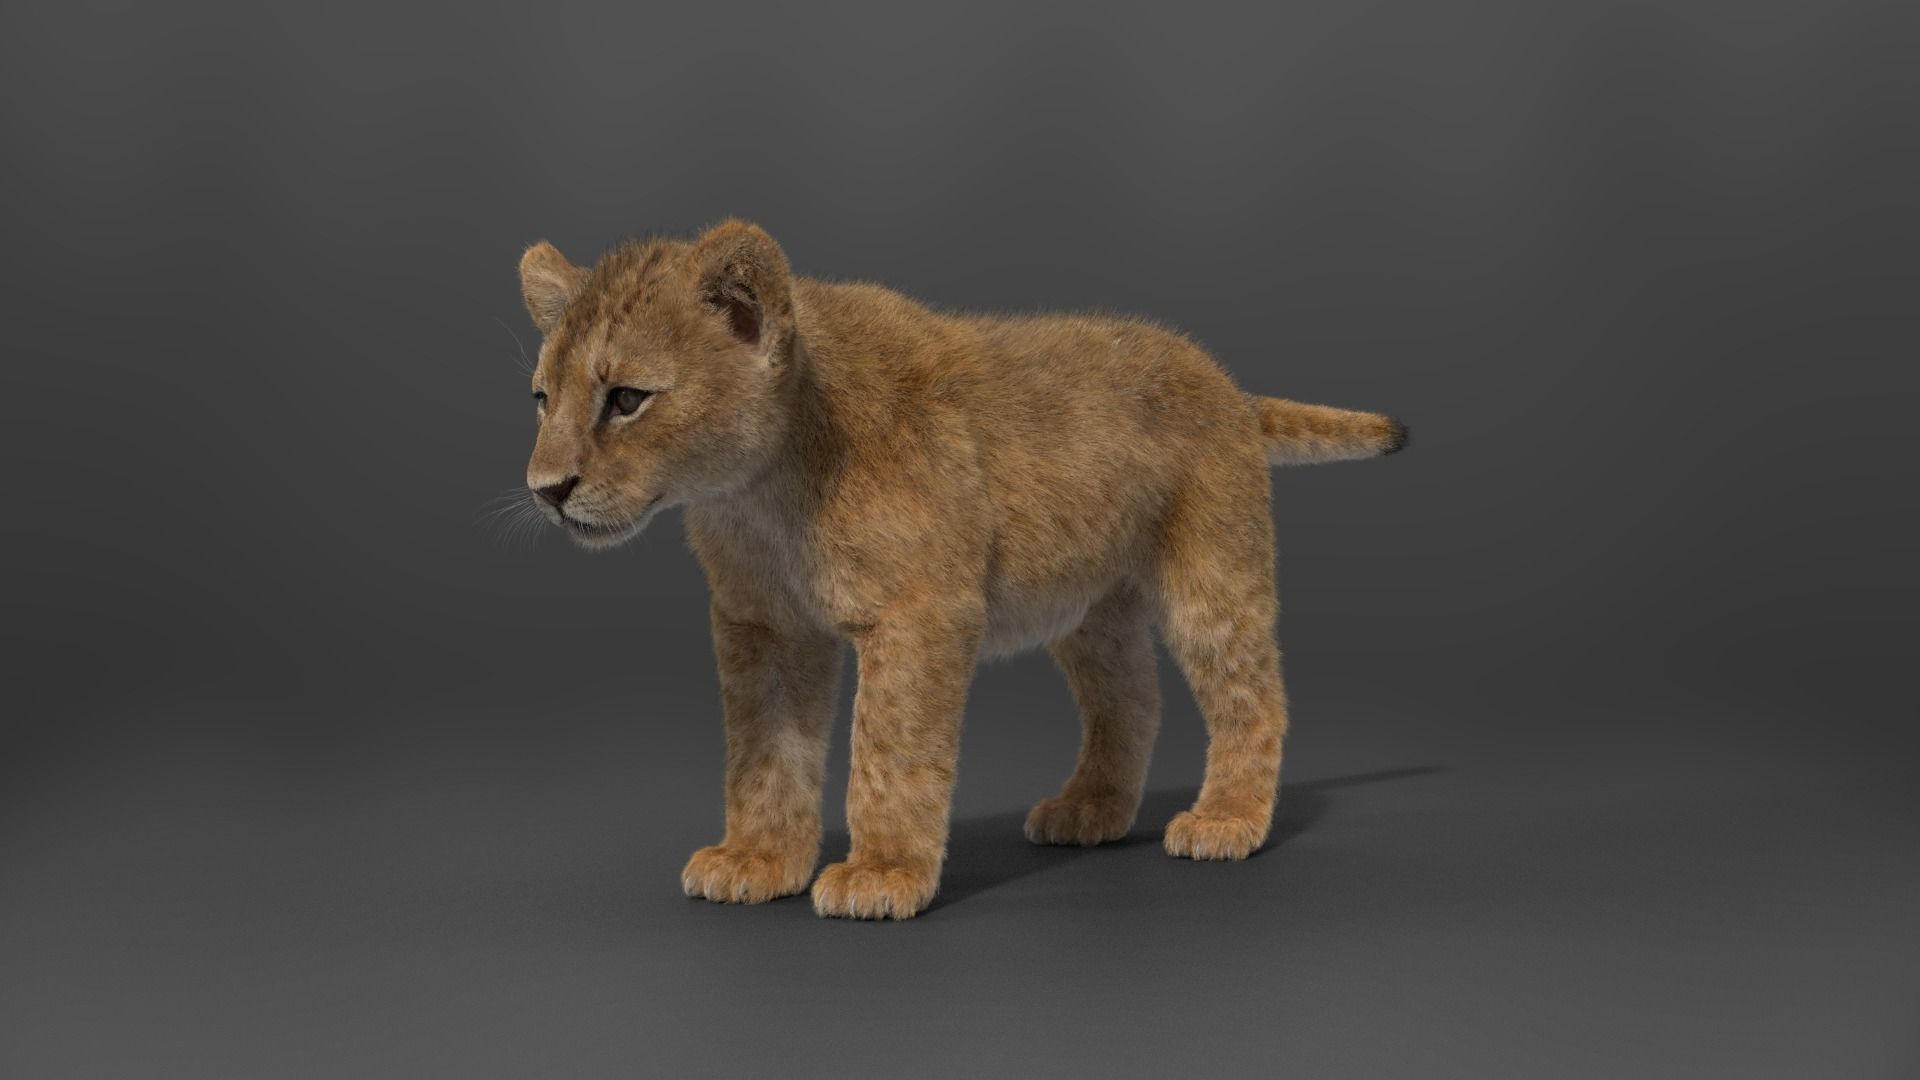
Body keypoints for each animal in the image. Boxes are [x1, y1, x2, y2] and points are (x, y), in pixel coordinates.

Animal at [515, 219, 1407, 919]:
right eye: (542, 400)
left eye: (627, 399)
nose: (546, 490)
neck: (757, 491)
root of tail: (1226, 382)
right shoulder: (763, 627)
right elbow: (763, 755)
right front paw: (757, 860)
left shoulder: (921, 611)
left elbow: (889, 748)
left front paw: (881, 873)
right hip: (1092, 607)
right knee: (1132, 700)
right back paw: (1091, 809)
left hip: (1210, 577)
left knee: (1253, 696)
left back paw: (1227, 819)